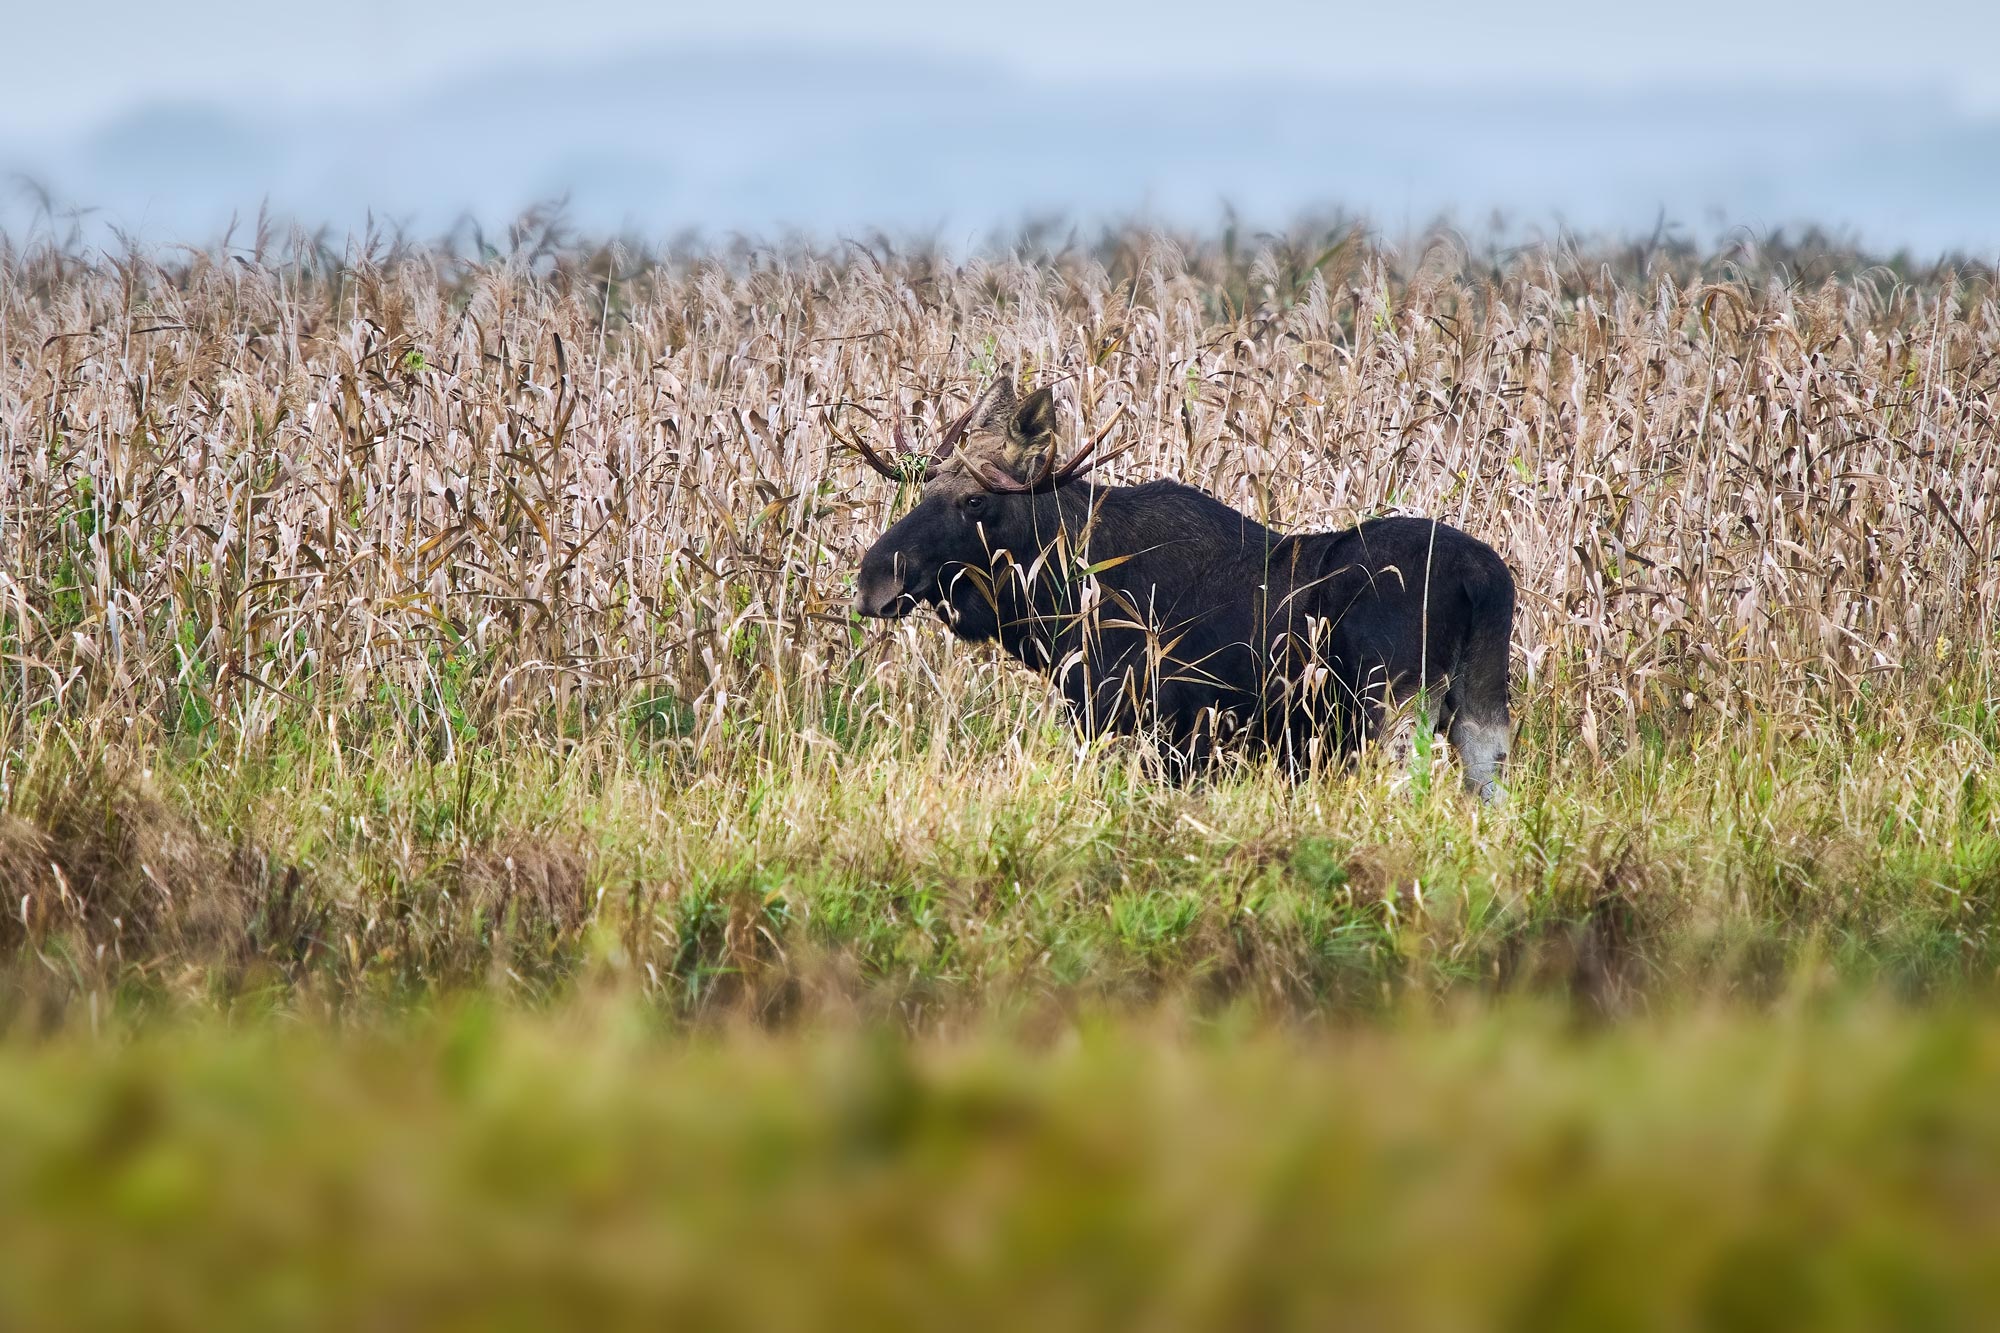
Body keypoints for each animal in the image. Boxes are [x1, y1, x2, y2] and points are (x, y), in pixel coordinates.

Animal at [844, 370, 1512, 800]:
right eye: (927, 487)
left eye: (975, 500)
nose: (873, 580)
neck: (1058, 603)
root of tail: (1485, 580)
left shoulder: (1149, 726)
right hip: (1479, 710)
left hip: (1395, 708)